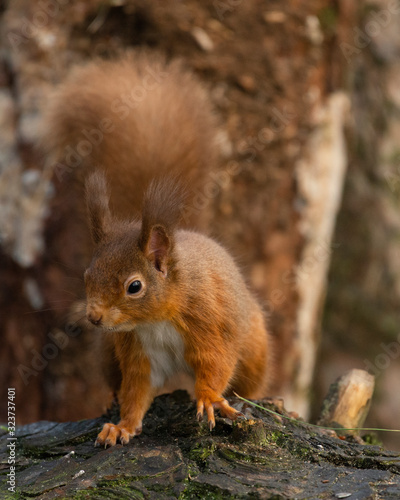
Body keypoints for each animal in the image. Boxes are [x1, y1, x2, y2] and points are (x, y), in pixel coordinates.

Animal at [41, 52, 272, 448]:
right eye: (86, 275)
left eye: (134, 286)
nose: (94, 317)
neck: (156, 319)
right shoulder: (136, 351)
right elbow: (136, 390)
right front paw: (122, 426)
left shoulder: (210, 324)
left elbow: (216, 365)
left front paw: (208, 399)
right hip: (107, 352)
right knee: (116, 382)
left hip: (254, 343)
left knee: (249, 380)